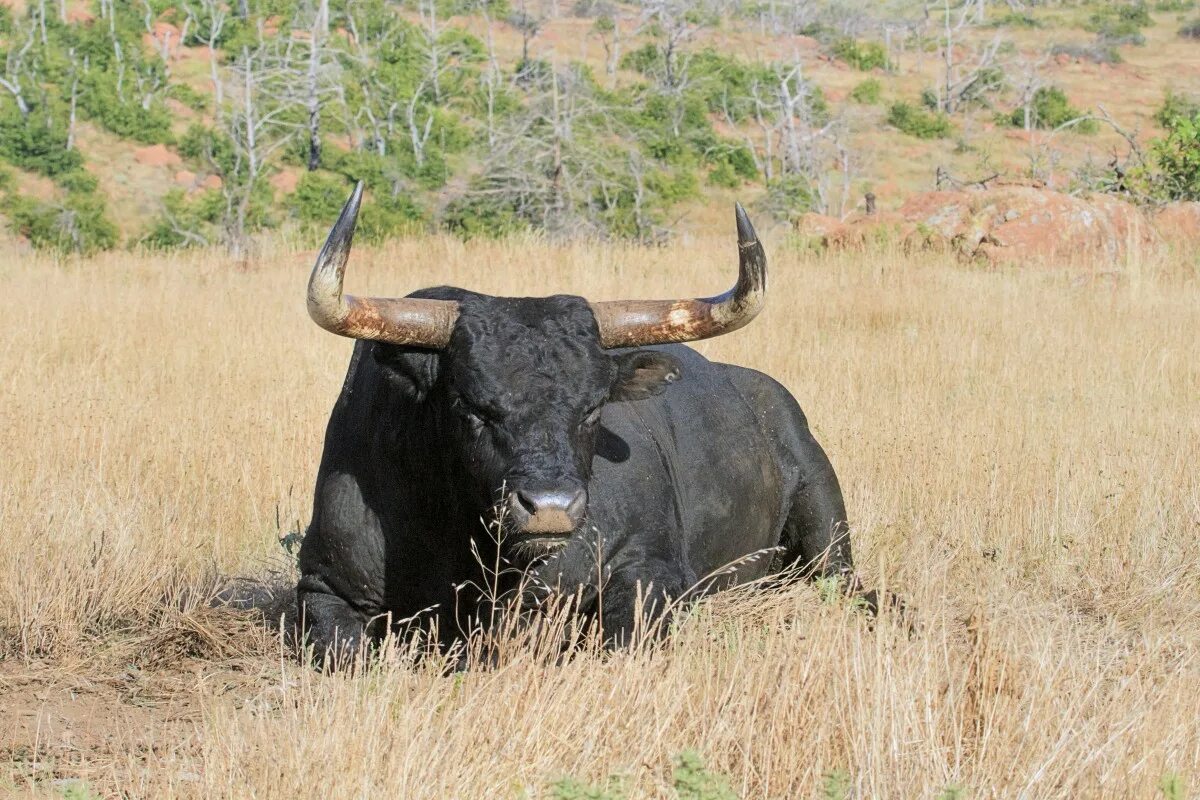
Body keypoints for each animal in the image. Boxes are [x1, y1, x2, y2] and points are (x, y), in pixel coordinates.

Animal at [295, 185, 868, 662]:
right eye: (471, 405)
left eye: (592, 407)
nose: (550, 507)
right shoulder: (323, 588)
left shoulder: (651, 571)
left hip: (826, 523)